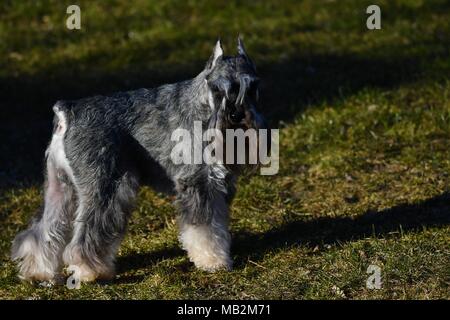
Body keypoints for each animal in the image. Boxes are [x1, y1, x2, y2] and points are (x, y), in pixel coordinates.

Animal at [11, 38, 268, 282]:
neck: (202, 105)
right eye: (217, 89)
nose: (236, 115)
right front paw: (213, 261)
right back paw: (90, 271)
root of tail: (67, 111)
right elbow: (204, 229)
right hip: (105, 187)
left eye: (253, 87)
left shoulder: (218, 186)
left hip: (60, 187)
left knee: (43, 230)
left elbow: (218, 223)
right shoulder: (198, 183)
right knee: (86, 234)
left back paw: (39, 272)